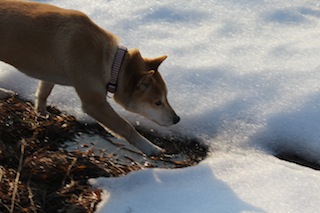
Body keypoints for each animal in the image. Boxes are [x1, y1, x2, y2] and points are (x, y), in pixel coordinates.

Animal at [0, 0, 180, 156]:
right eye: (157, 103)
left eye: (166, 97)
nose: (177, 119)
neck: (112, 63)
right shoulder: (95, 104)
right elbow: (125, 126)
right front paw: (150, 147)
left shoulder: (48, 74)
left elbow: (43, 93)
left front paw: (42, 113)